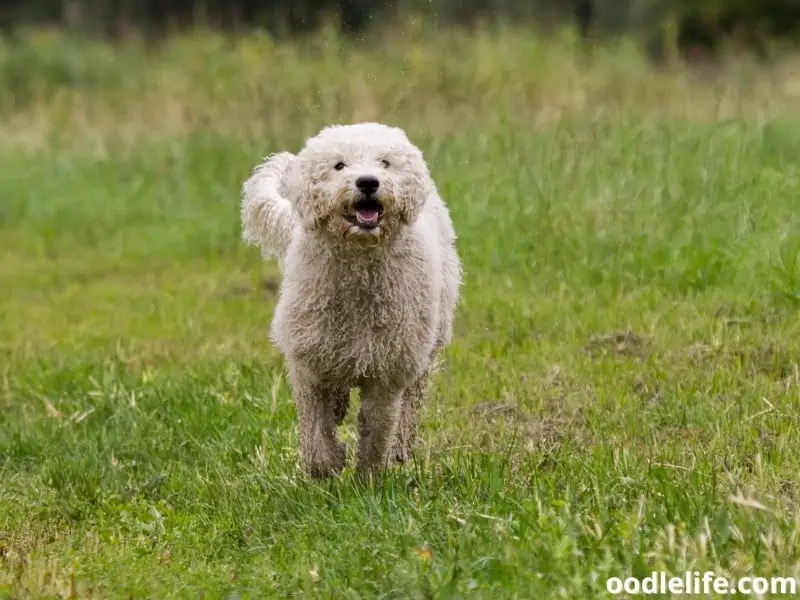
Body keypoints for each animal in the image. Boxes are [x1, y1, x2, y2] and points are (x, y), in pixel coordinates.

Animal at [241, 122, 460, 478]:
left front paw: (369, 476)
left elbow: (377, 428)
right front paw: (325, 465)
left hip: (427, 341)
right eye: (339, 165)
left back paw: (400, 446)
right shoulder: (309, 361)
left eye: (385, 162)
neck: (359, 271)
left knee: (412, 398)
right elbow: (316, 424)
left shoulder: (388, 370)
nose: (368, 182)